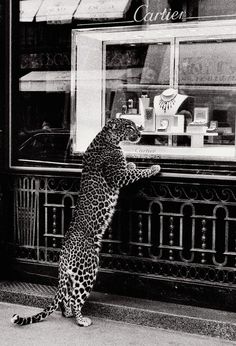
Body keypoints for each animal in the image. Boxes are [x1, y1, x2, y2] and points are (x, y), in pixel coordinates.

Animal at [11, 118, 160, 328]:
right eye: (129, 126)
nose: (140, 134)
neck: (107, 138)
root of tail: (64, 255)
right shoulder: (118, 176)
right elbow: (137, 173)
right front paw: (153, 168)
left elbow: (129, 168)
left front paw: (131, 163)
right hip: (87, 270)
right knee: (76, 299)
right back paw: (82, 320)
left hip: (71, 276)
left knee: (66, 297)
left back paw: (68, 314)